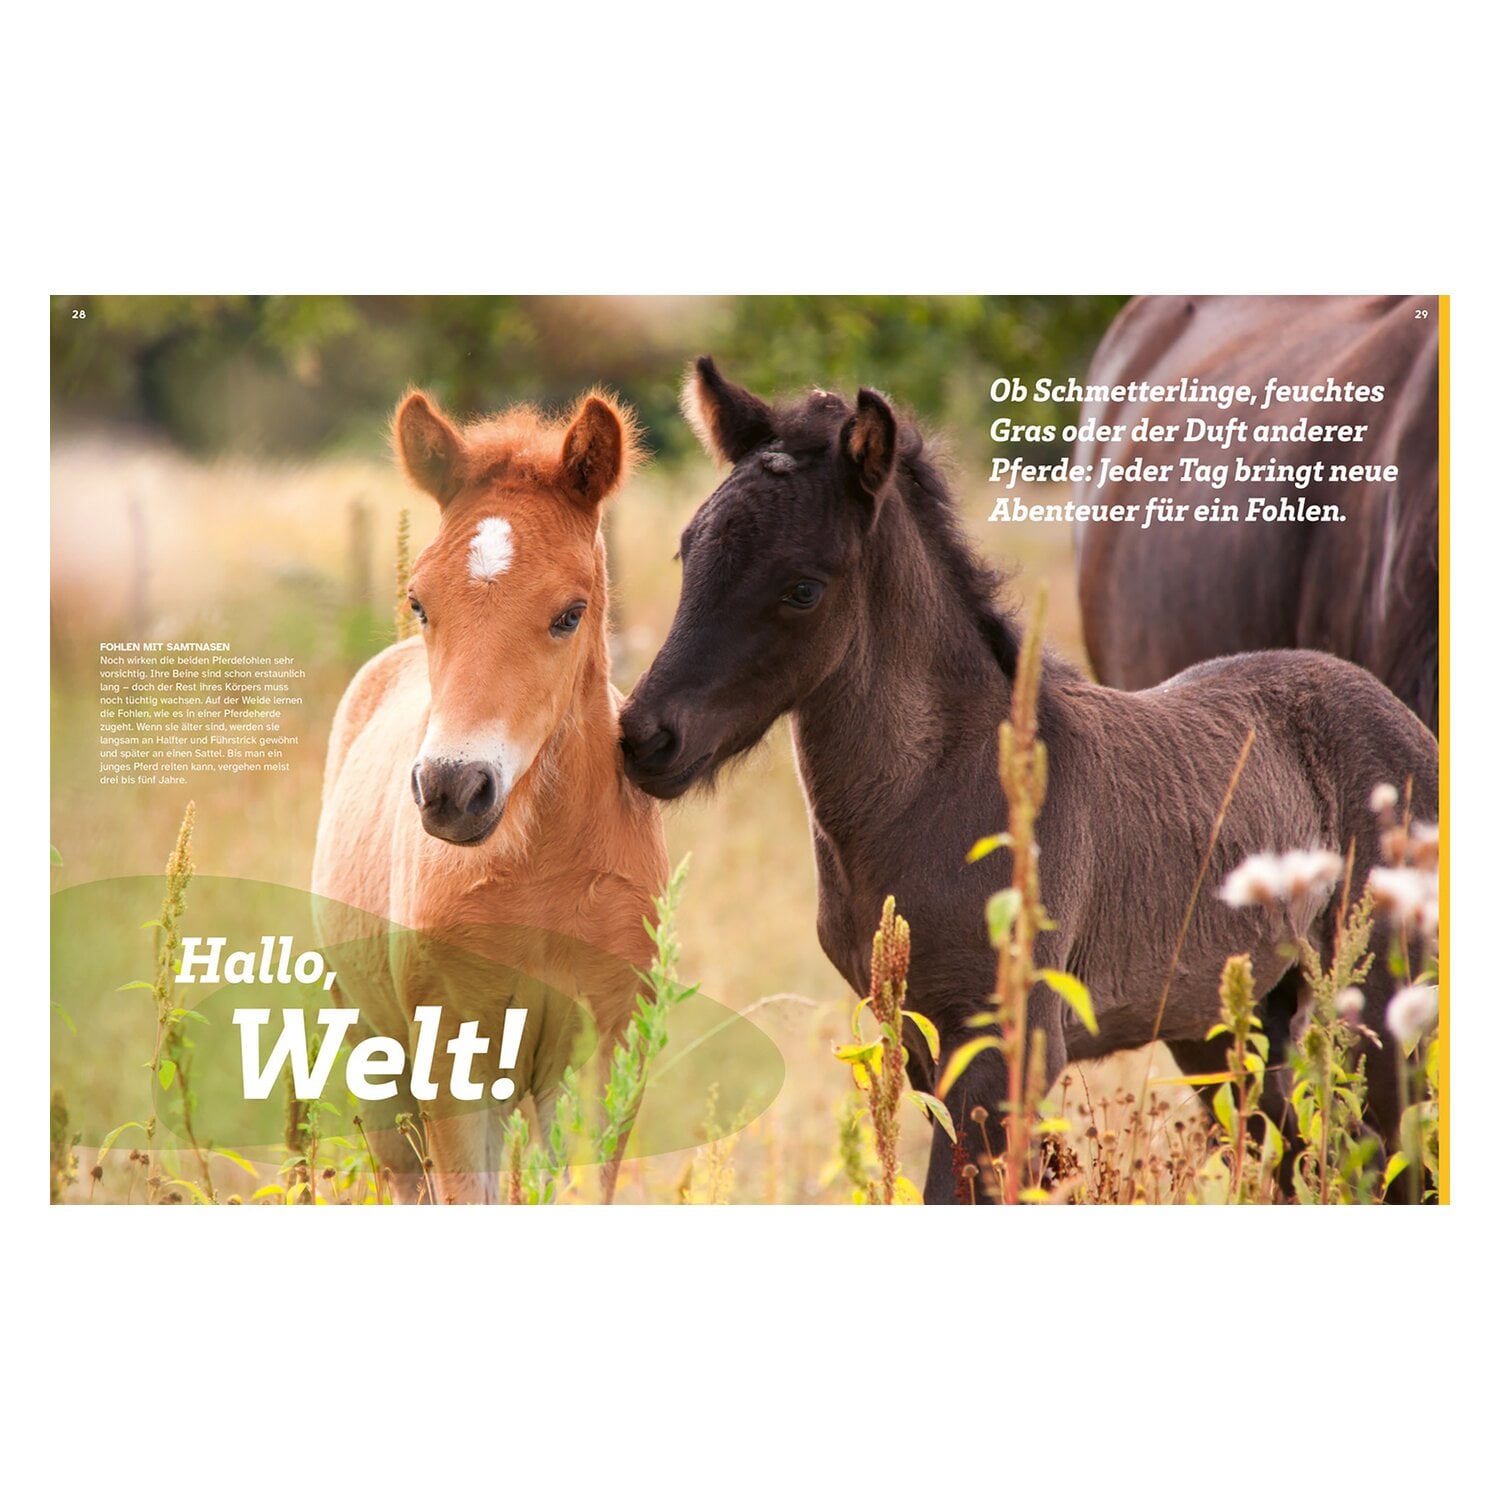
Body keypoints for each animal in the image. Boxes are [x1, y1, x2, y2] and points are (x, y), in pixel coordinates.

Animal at [312, 388, 668, 1203]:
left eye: (569, 613)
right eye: (420, 602)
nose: (452, 789)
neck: (540, 868)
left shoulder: (604, 1053)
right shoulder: (452, 1061)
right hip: (377, 1063)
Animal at [619, 358, 1438, 1204]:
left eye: (802, 589)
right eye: (689, 553)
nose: (646, 737)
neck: (936, 787)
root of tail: (1402, 718)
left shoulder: (1008, 1049)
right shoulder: (921, 1043)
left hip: (1379, 1010)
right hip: (1224, 1027)